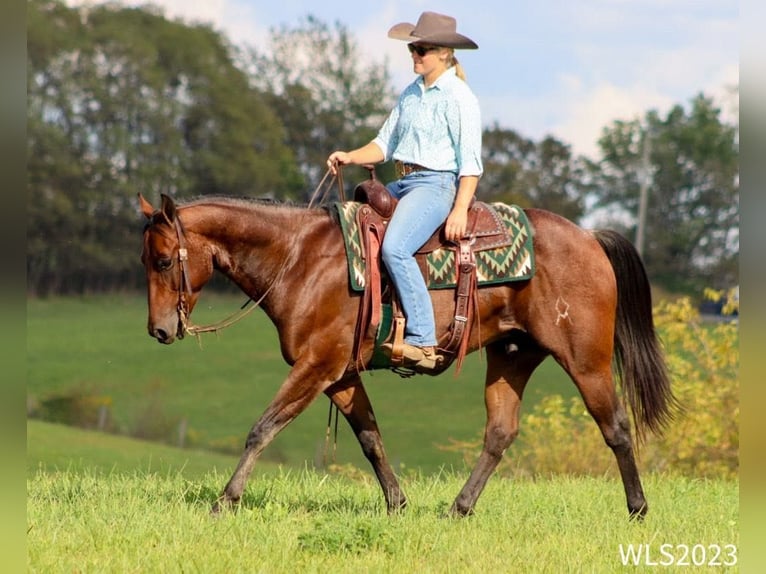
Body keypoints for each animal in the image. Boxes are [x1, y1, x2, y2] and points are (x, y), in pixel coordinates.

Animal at [140, 191, 680, 520]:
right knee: (500, 433)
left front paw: (225, 501)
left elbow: (263, 428)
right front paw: (397, 503)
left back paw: (637, 509)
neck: (300, 259)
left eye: (164, 260)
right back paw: (458, 509)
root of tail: (591, 238)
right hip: (511, 356)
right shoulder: (341, 375)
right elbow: (371, 439)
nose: (159, 330)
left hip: (586, 361)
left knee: (615, 427)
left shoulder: (315, 367)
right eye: (145, 260)